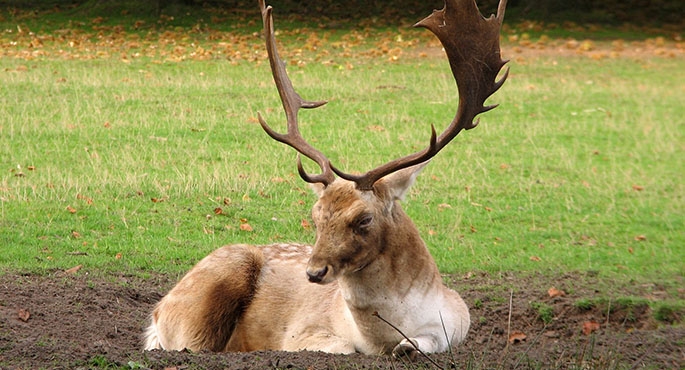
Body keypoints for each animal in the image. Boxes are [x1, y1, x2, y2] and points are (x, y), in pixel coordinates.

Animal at [143, 0, 508, 356]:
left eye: (363, 219)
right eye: (315, 216)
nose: (314, 271)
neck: (382, 337)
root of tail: (157, 314)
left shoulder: (458, 321)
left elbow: (420, 345)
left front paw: (408, 347)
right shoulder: (300, 332)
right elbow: (343, 347)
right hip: (203, 301)